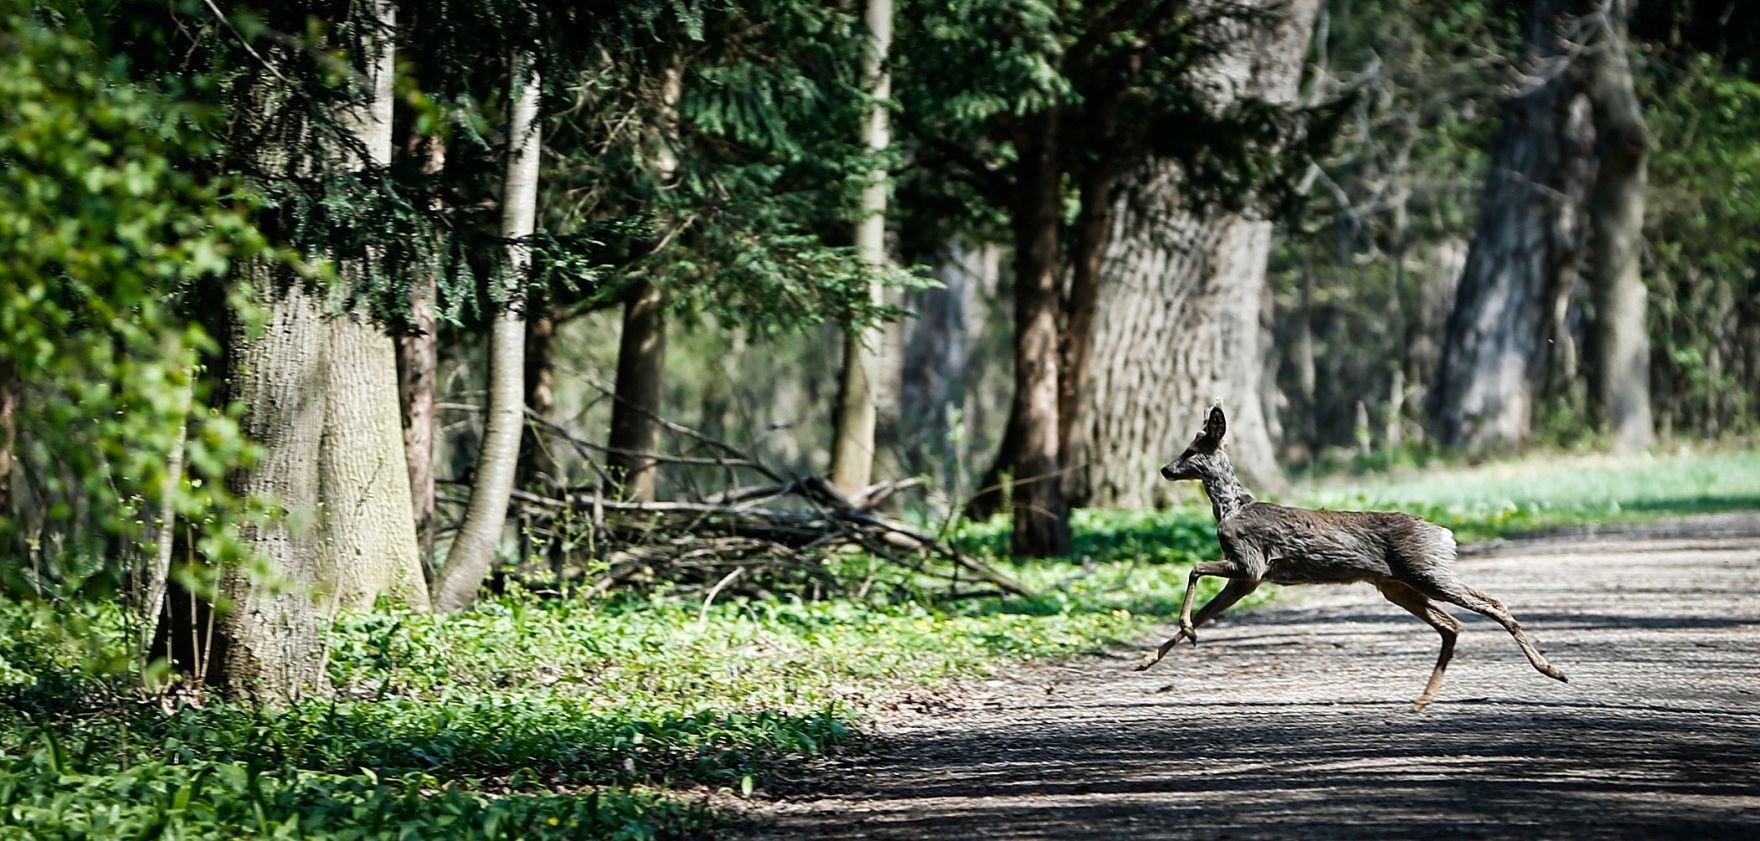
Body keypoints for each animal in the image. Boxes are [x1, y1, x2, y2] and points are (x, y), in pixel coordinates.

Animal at [1135, 404, 1568, 711]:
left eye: (1191, 450)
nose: (1166, 469)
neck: (1231, 508)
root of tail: (1446, 535)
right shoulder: (1247, 580)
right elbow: (1205, 611)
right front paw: (1147, 659)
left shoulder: (1250, 563)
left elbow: (1193, 570)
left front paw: (1182, 633)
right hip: (1396, 585)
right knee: (1451, 625)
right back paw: (1422, 699)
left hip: (1425, 571)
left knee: (1492, 604)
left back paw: (1552, 670)